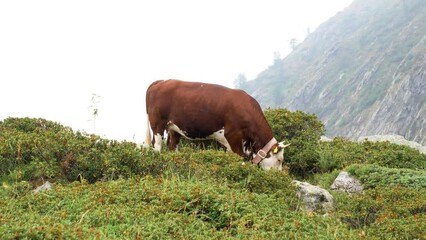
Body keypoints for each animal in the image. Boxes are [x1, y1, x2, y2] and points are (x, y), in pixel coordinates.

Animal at [144, 79, 290, 170]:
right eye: (279, 160)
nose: (278, 176)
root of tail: (161, 81)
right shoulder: (233, 135)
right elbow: (239, 157)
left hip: (173, 127)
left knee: (172, 145)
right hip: (157, 124)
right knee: (157, 145)